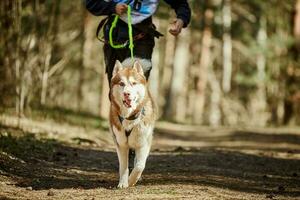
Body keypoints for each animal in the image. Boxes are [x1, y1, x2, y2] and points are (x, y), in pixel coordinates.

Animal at [110, 57, 157, 188]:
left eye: (134, 83)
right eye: (121, 84)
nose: (126, 93)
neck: (130, 117)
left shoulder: (143, 143)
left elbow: (140, 165)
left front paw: (132, 180)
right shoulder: (121, 144)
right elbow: (123, 166)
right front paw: (123, 182)